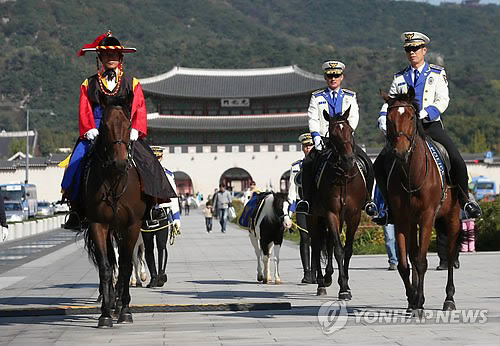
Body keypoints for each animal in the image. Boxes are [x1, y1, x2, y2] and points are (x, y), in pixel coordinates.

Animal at [82, 100, 146, 328]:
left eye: (129, 125)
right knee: (112, 263)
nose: (119, 162)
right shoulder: (98, 223)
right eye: (104, 126)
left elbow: (126, 266)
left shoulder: (132, 225)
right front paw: (105, 314)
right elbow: (106, 267)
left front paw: (125, 310)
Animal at [308, 109, 368, 298]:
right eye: (333, 135)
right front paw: (343, 288)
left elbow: (346, 249)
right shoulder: (331, 213)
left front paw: (345, 284)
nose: (348, 160)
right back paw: (321, 282)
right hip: (314, 216)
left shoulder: (354, 215)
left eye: (350, 131)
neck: (343, 177)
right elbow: (338, 249)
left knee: (327, 243)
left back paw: (328, 277)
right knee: (317, 245)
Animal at [378, 88, 460, 312]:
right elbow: (405, 264)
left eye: (412, 117)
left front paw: (419, 302)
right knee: (413, 256)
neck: (410, 174)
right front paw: (413, 299)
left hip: (452, 218)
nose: (400, 151)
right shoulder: (401, 219)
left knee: (450, 255)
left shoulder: (426, 217)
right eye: (388, 118)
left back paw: (449, 299)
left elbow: (421, 261)